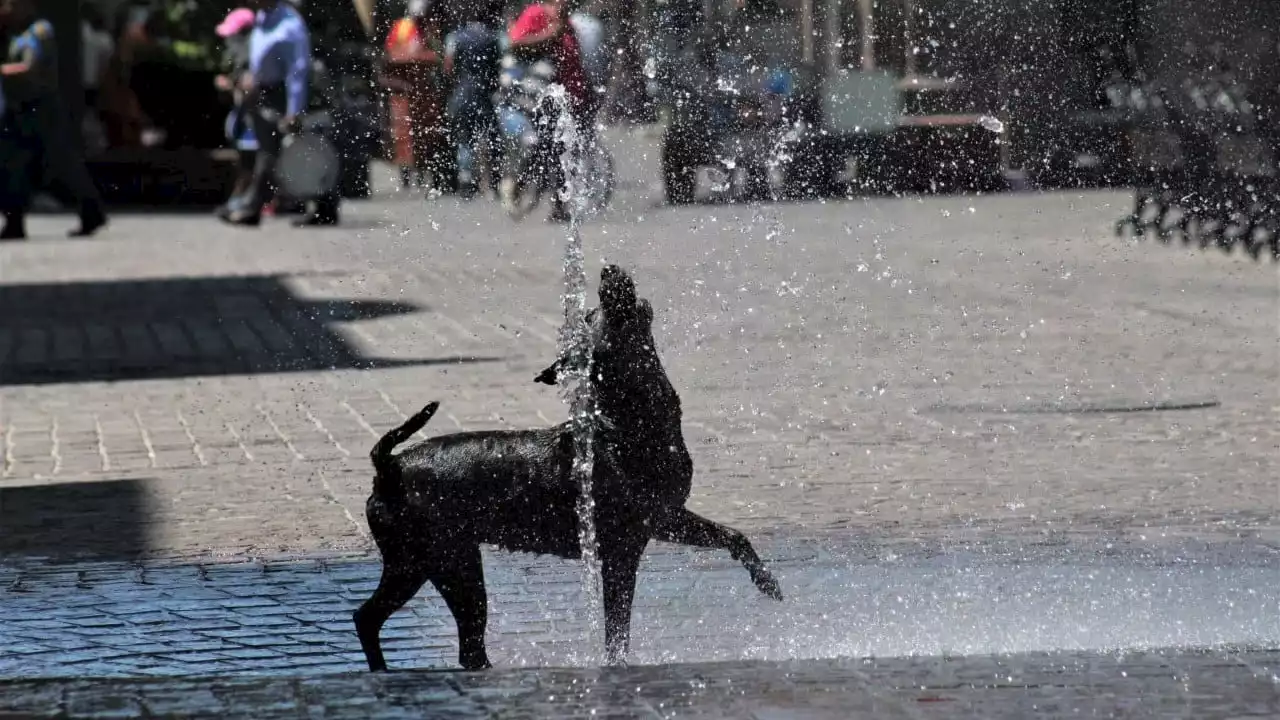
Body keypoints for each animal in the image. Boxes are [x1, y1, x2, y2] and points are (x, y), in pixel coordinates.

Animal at [355, 265, 783, 671]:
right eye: (597, 314)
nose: (608, 269)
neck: (629, 420)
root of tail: (389, 467)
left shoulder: (665, 518)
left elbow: (732, 535)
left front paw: (767, 582)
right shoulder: (623, 550)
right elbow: (617, 629)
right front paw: (615, 665)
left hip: (425, 562)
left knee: (374, 618)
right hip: (444, 562)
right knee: (448, 640)